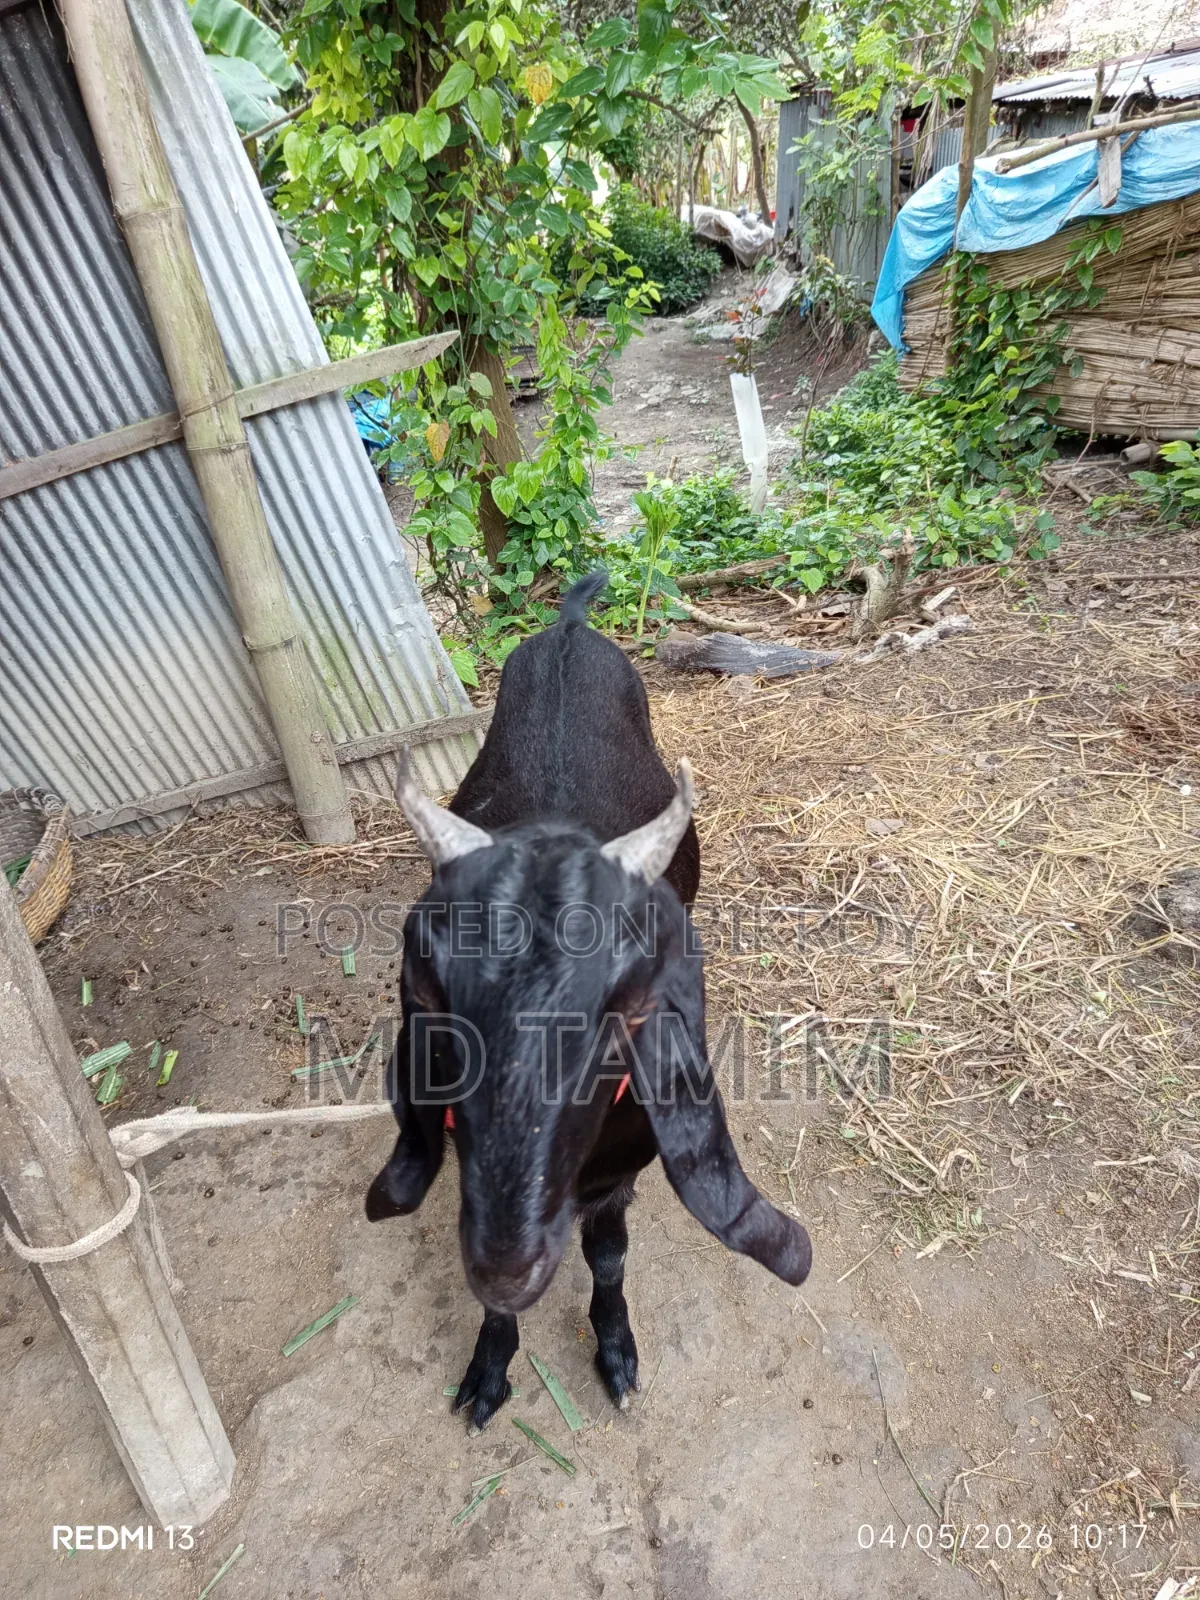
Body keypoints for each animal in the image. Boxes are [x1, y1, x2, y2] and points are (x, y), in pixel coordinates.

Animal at [366, 569, 812, 1431]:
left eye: (628, 1012)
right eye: (426, 994)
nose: (509, 1267)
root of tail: (570, 627)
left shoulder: (617, 1175)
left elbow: (607, 1257)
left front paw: (617, 1352)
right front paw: (490, 1365)